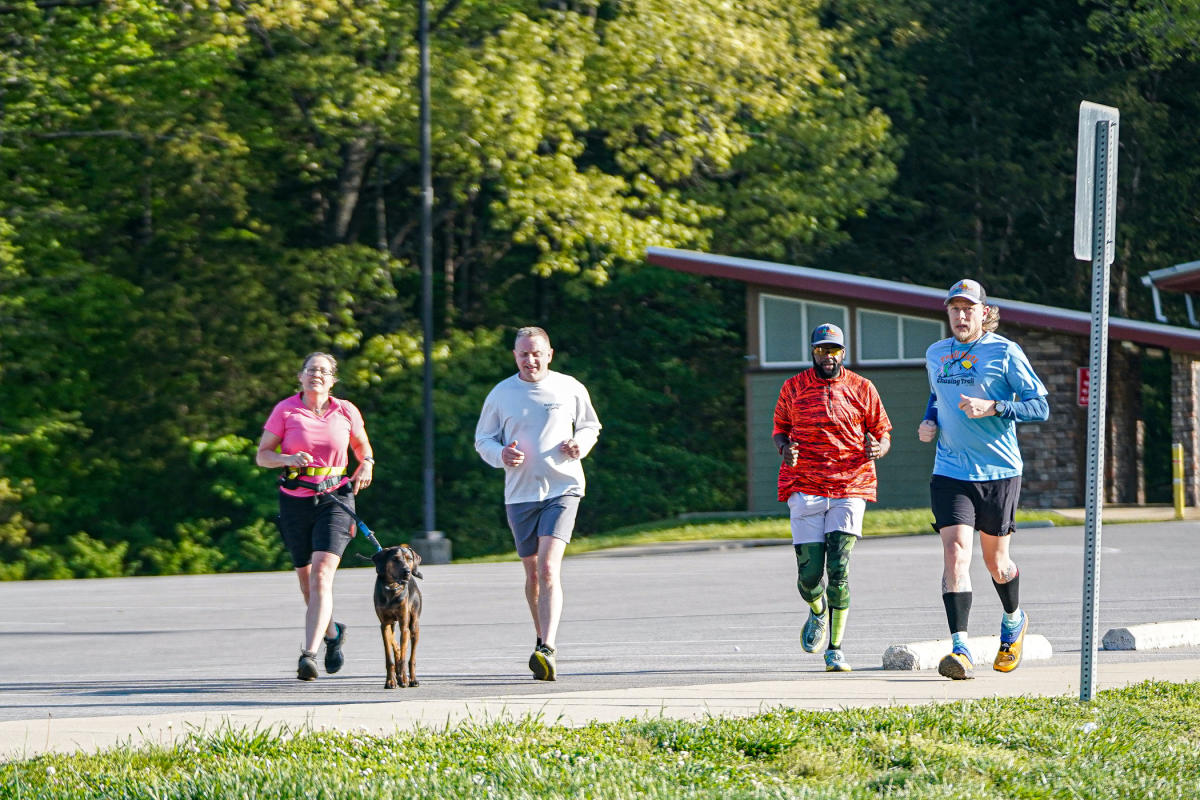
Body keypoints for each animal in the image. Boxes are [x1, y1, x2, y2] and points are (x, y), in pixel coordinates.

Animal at [367, 546, 424, 690]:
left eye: (409, 559)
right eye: (395, 559)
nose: (407, 572)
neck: (392, 587)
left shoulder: (404, 625)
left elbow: (404, 656)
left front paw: (404, 678)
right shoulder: (384, 624)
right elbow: (390, 656)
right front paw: (390, 681)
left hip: (414, 624)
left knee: (411, 657)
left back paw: (412, 679)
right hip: (391, 624)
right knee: (394, 642)